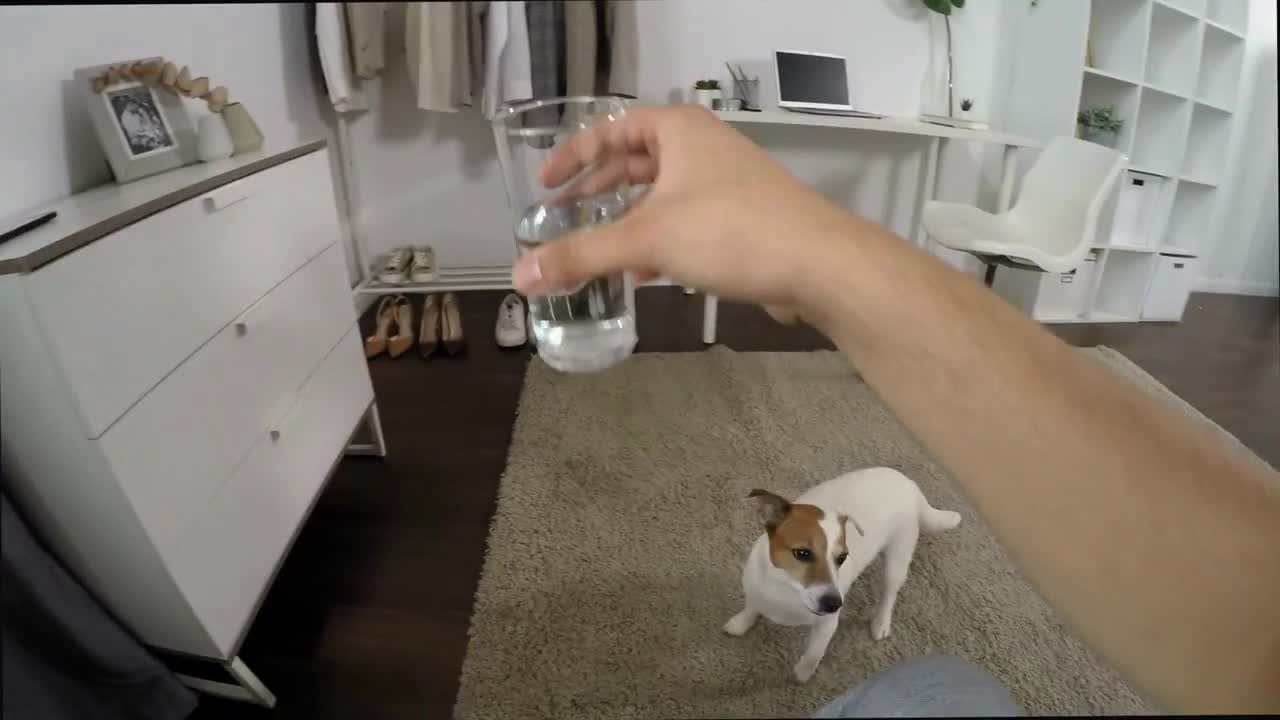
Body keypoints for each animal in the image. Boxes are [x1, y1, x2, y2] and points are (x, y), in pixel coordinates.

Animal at [721, 466, 962, 676]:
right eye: (802, 553)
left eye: (842, 558)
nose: (834, 604)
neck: (784, 589)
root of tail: (909, 484)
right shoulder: (755, 590)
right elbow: (751, 607)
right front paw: (740, 624)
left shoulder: (827, 625)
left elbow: (814, 653)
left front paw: (802, 674)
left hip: (898, 558)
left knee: (890, 594)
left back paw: (881, 623)